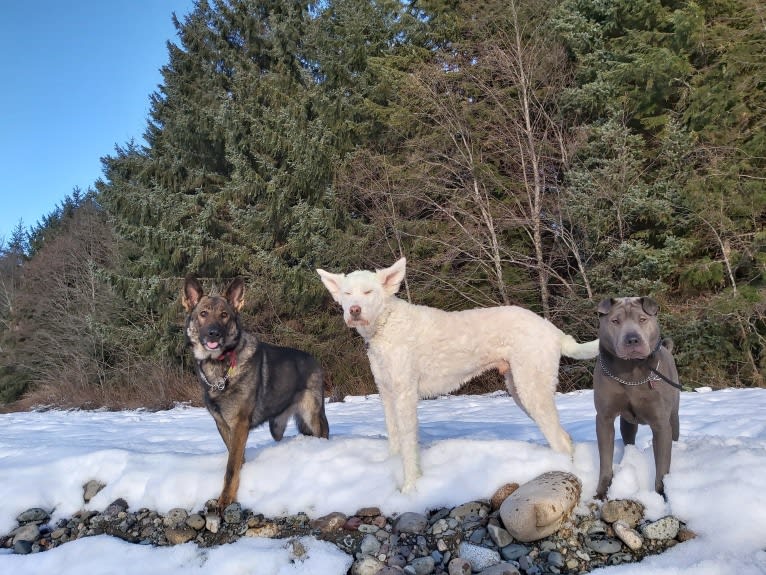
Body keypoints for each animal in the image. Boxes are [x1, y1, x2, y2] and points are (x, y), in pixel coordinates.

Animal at [187, 280, 332, 508]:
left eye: (224, 315)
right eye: (203, 314)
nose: (213, 333)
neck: (220, 367)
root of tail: (313, 359)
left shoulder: (239, 425)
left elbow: (230, 468)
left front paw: (225, 499)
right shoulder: (223, 425)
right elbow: (236, 459)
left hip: (313, 416)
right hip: (278, 427)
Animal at [318, 258, 600, 492]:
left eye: (369, 292)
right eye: (347, 294)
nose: (354, 310)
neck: (385, 326)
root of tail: (555, 332)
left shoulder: (405, 394)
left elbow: (408, 446)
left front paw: (410, 488)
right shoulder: (386, 394)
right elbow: (394, 440)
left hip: (533, 389)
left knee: (561, 441)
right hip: (521, 390)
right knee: (565, 438)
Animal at [596, 296, 680, 500]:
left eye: (642, 319)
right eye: (615, 321)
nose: (632, 339)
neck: (631, 372)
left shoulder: (660, 422)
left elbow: (662, 465)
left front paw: (661, 494)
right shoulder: (604, 418)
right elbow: (605, 458)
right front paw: (602, 491)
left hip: (674, 413)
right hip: (627, 422)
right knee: (628, 435)